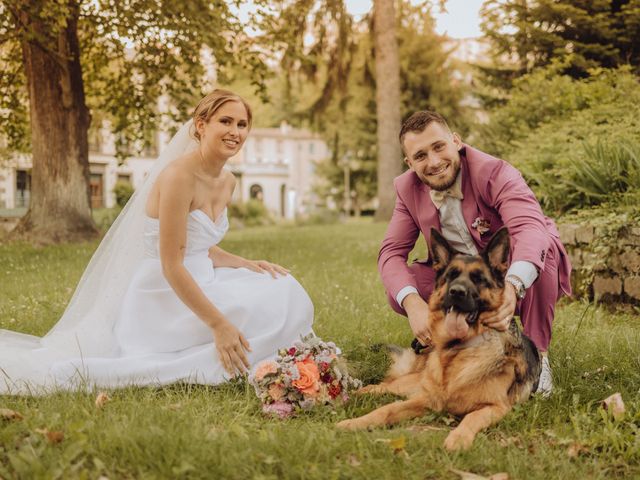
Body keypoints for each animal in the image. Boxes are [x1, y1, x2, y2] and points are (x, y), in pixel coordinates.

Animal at [338, 226, 544, 450]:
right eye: (450, 276)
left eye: (479, 278)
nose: (456, 292)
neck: (457, 350)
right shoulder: (426, 400)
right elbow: (386, 410)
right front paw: (355, 422)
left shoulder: (496, 407)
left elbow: (471, 417)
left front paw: (458, 438)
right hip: (409, 386)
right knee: (380, 386)